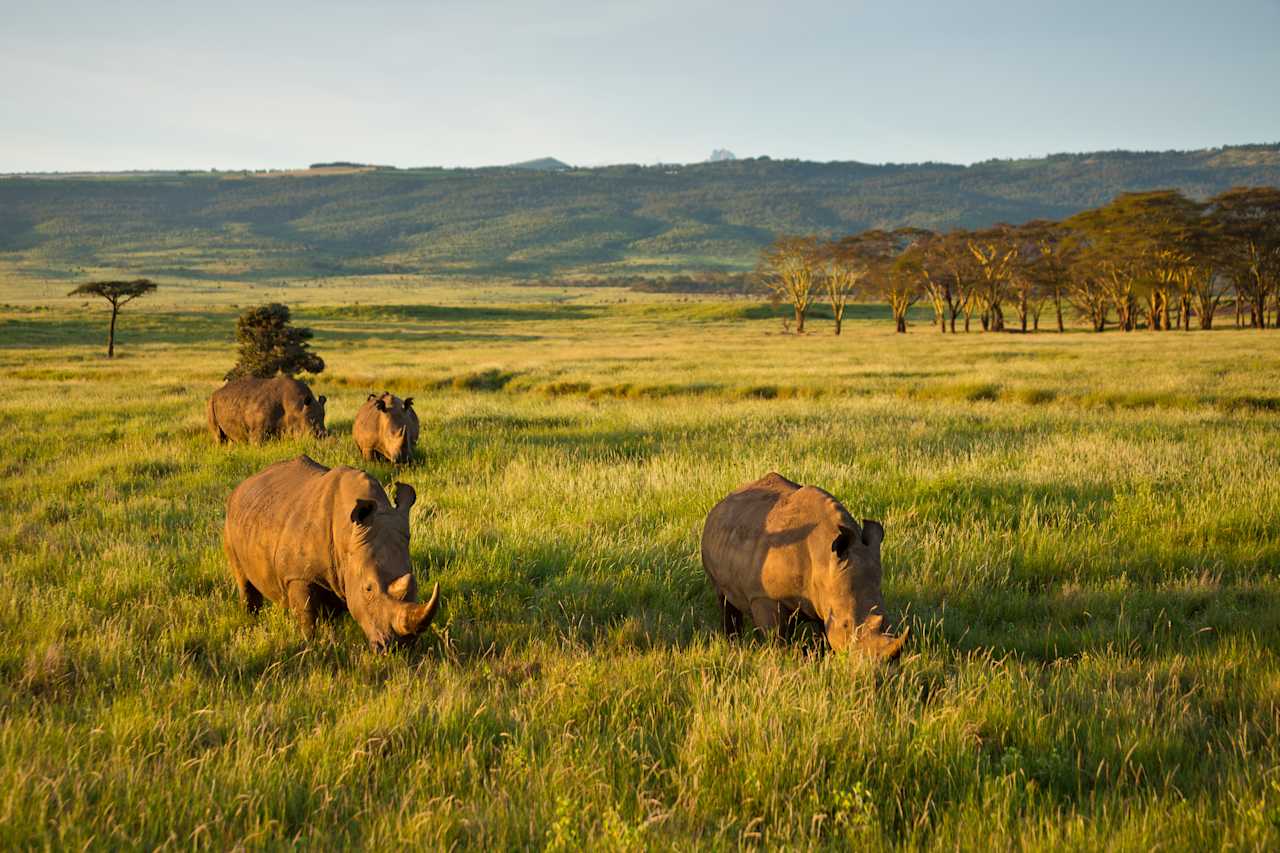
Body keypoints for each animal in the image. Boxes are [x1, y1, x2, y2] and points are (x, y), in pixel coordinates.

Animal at [223, 455, 440, 650]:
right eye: (368, 589)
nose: (401, 646)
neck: (348, 536)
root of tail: (245, 483)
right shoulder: (298, 575)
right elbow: (307, 615)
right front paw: (310, 646)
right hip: (231, 519)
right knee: (243, 578)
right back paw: (250, 619)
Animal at [700, 472, 907, 660]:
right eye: (846, 625)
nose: (876, 665)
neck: (824, 560)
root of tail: (724, 500)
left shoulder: (825, 593)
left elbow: (823, 633)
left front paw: (820, 658)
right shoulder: (763, 596)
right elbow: (776, 636)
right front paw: (780, 660)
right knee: (724, 599)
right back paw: (733, 644)